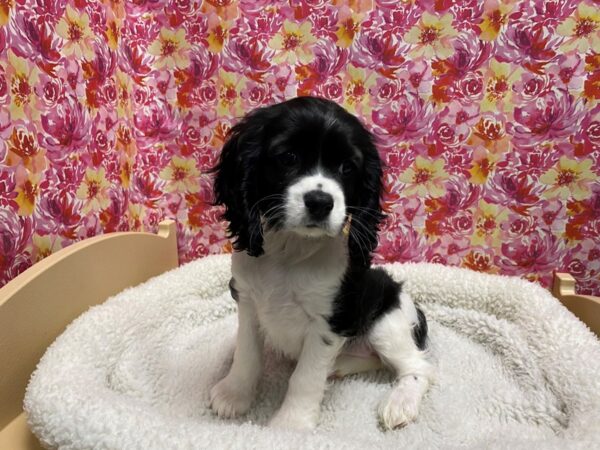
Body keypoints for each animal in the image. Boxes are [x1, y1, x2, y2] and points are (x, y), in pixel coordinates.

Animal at [210, 97, 432, 428]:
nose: (320, 202)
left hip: (386, 323)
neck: (291, 252)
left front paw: (290, 425)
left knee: (418, 367)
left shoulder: (328, 322)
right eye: (288, 157)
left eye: (347, 167)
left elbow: (305, 377)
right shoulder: (248, 301)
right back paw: (339, 367)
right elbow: (246, 354)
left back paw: (400, 403)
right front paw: (233, 394)